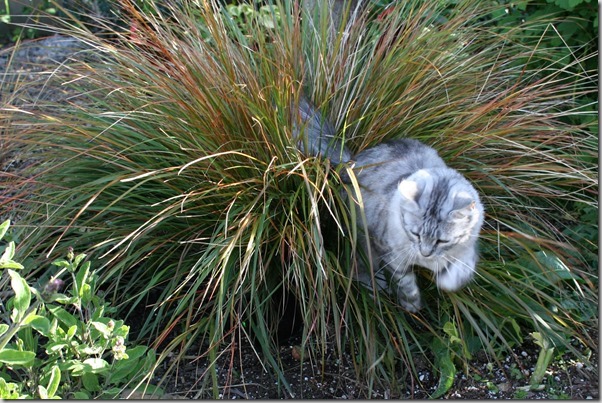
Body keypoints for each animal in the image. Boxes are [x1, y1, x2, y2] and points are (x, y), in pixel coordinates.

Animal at [290, 95, 482, 312]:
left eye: (442, 241)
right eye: (415, 234)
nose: (425, 254)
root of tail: (350, 163)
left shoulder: (467, 246)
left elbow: (464, 266)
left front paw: (448, 281)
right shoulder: (390, 252)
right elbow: (405, 282)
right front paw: (412, 304)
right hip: (362, 242)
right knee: (360, 270)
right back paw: (377, 288)